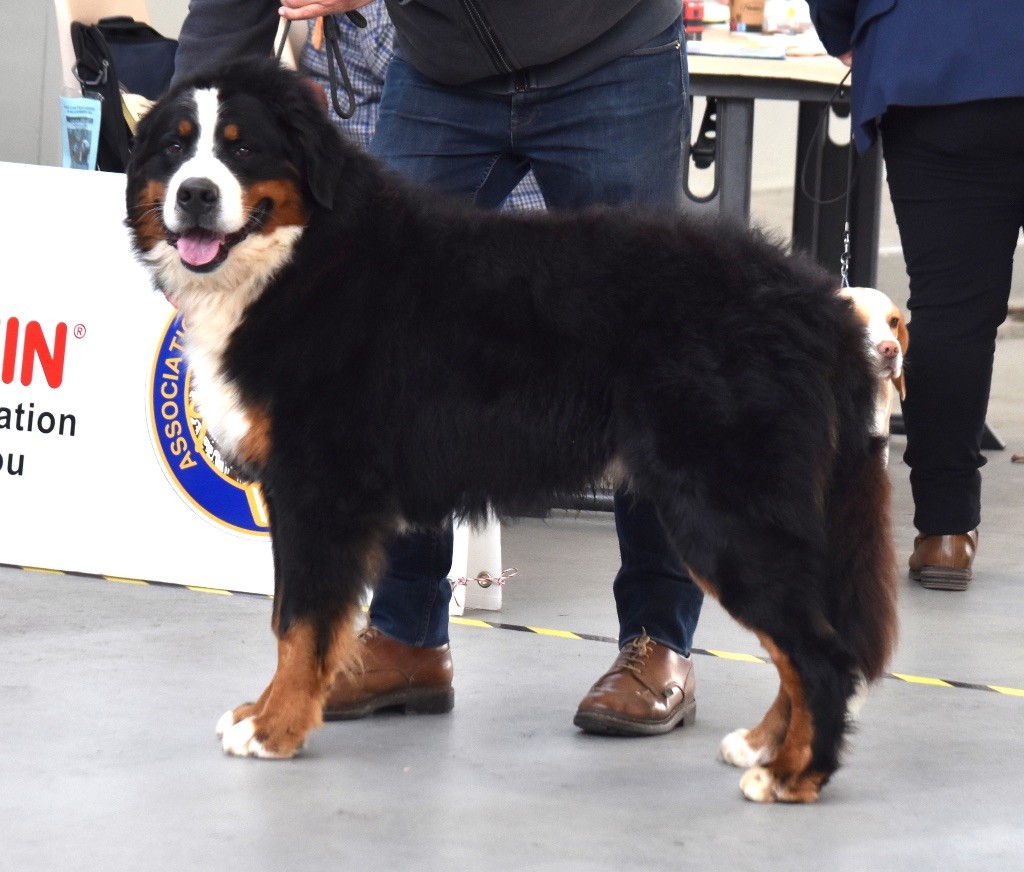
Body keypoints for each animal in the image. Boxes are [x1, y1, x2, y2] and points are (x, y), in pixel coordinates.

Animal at [125, 56, 897, 802]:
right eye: (175, 147)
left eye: (242, 148)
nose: (195, 194)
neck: (303, 257)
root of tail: (816, 300)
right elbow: (293, 617)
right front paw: (268, 711)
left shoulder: (319, 490)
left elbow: (300, 623)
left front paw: (276, 728)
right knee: (798, 649)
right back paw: (766, 744)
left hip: (725, 511)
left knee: (821, 654)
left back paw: (794, 775)